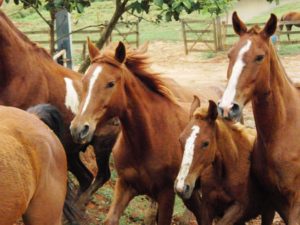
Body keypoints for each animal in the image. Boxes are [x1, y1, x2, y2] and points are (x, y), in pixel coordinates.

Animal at [68, 41, 204, 224]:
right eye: (84, 81)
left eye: (110, 83)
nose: (78, 128)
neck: (148, 138)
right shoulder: (125, 186)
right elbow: (110, 219)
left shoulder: (166, 194)